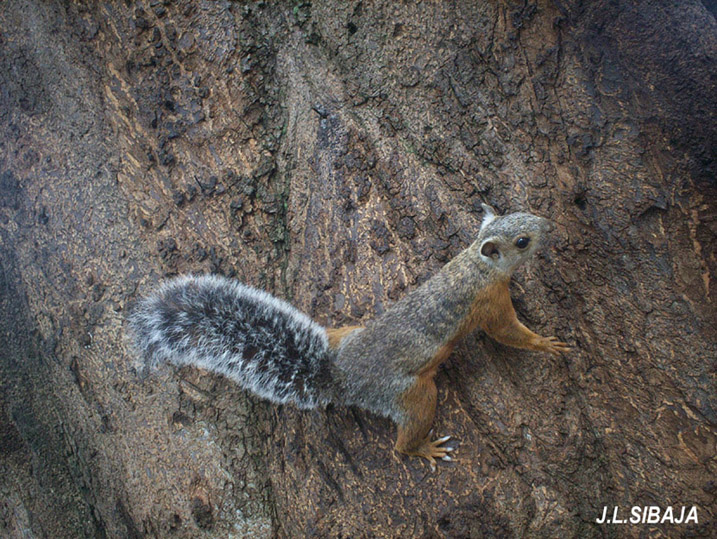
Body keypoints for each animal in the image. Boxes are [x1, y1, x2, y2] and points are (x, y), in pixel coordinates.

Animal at [126, 205, 568, 470]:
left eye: (521, 212)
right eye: (522, 241)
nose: (550, 225)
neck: (475, 264)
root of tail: (338, 376)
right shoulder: (490, 303)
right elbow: (507, 333)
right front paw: (546, 344)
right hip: (413, 393)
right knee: (403, 440)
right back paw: (422, 447)